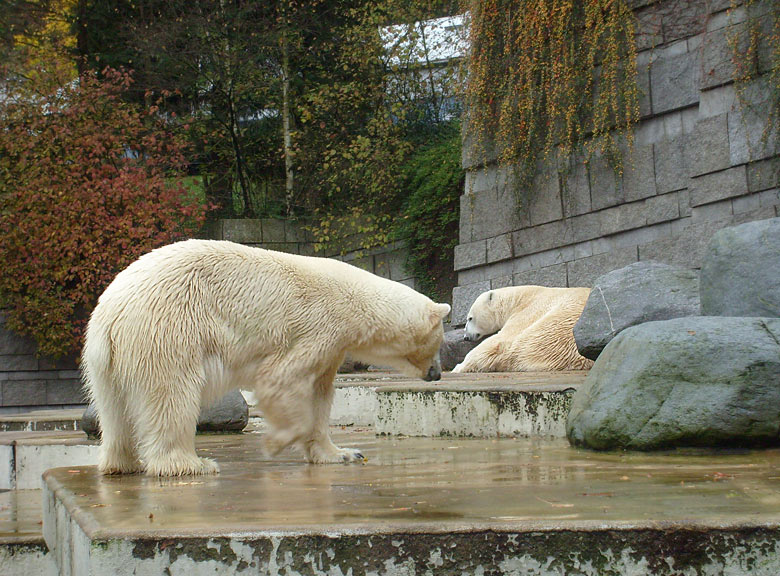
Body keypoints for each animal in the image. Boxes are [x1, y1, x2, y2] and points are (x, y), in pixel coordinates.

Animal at [81, 240, 448, 476]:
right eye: (439, 341)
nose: (437, 374)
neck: (355, 300)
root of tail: (111, 310)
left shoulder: (332, 347)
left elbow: (319, 393)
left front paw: (343, 453)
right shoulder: (318, 328)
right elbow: (280, 379)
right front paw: (276, 443)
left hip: (105, 356)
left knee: (112, 407)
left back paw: (120, 464)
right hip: (168, 328)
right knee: (173, 394)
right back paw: (191, 465)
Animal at [450, 284, 592, 374]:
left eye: (470, 318)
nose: (466, 337)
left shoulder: (529, 310)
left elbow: (504, 338)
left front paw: (459, 366)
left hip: (558, 325)